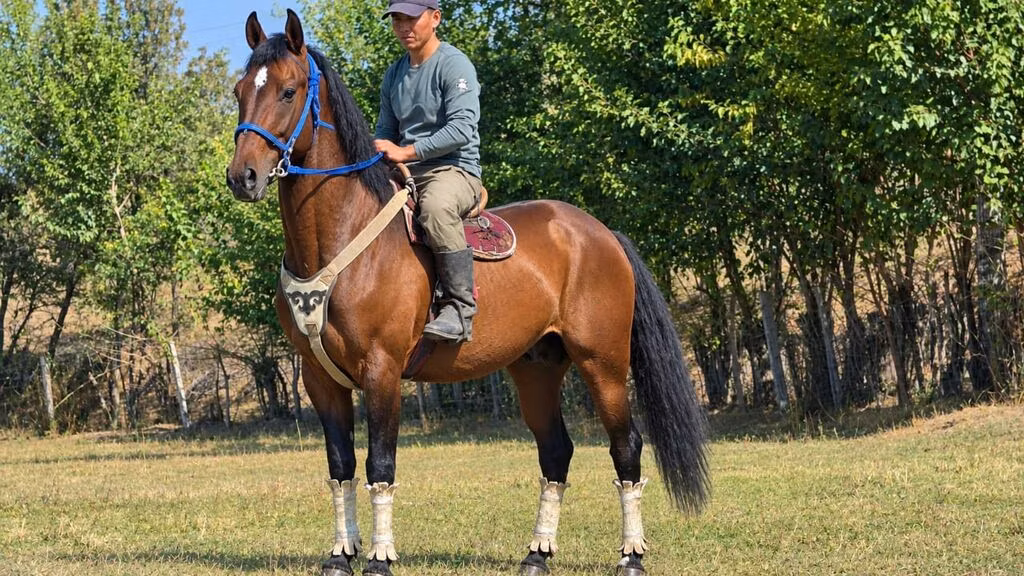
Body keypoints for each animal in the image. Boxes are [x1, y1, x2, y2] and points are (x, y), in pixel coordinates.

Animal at [225, 9, 708, 576]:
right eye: (240, 91)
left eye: (288, 90)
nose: (243, 176)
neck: (341, 238)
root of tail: (601, 233)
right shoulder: (320, 379)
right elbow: (341, 467)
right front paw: (341, 555)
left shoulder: (382, 371)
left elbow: (380, 464)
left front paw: (380, 558)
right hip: (536, 368)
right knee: (556, 452)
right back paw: (537, 554)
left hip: (603, 363)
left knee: (625, 446)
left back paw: (631, 555)